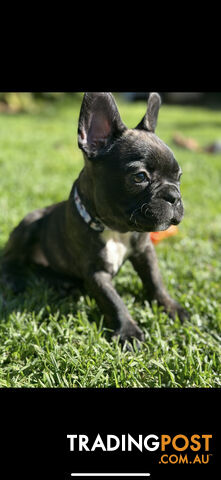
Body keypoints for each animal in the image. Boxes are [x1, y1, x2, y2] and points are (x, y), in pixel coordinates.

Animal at [1, 92, 188, 344]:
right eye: (140, 177)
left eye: (179, 177)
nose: (174, 196)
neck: (116, 230)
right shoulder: (96, 273)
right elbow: (114, 301)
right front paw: (128, 331)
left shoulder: (145, 251)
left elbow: (155, 280)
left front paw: (171, 307)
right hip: (30, 223)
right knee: (9, 259)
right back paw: (15, 278)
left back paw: (63, 283)